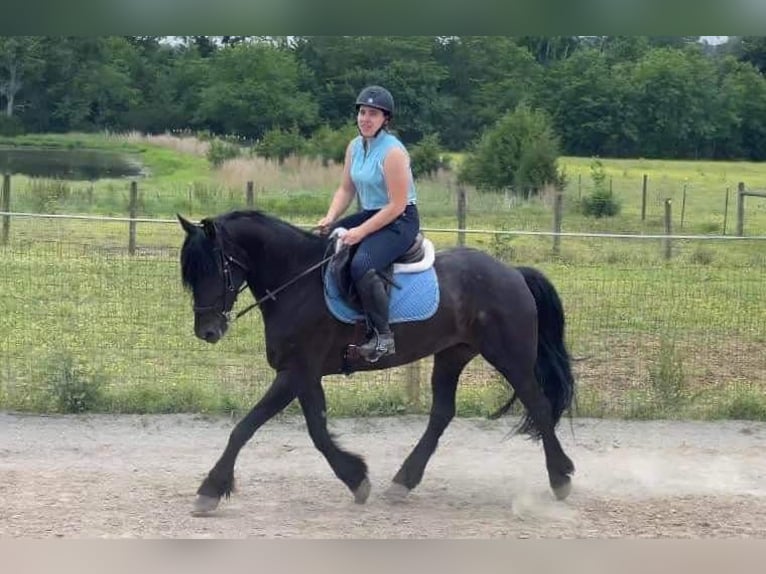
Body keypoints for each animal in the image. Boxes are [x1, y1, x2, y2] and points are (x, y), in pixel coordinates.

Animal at [178, 209, 576, 516]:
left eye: (214, 267)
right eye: (191, 274)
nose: (207, 331)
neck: (297, 282)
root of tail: (513, 273)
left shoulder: (295, 372)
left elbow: (247, 427)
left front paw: (210, 489)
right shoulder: (304, 375)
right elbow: (315, 430)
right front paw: (356, 479)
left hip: (509, 357)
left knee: (539, 405)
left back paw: (560, 478)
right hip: (452, 355)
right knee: (442, 414)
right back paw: (403, 481)